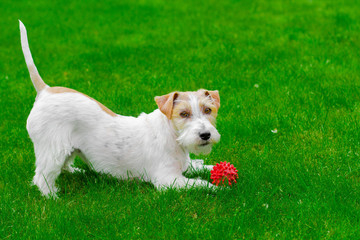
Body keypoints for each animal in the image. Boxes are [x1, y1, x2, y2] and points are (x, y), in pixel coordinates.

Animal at [19, 20, 222, 197]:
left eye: (208, 110)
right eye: (183, 114)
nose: (205, 135)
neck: (173, 135)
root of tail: (44, 90)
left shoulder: (186, 166)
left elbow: (205, 167)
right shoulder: (168, 180)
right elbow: (200, 183)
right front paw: (219, 188)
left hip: (68, 148)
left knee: (63, 166)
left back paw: (76, 171)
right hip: (53, 149)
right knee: (42, 177)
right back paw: (53, 197)